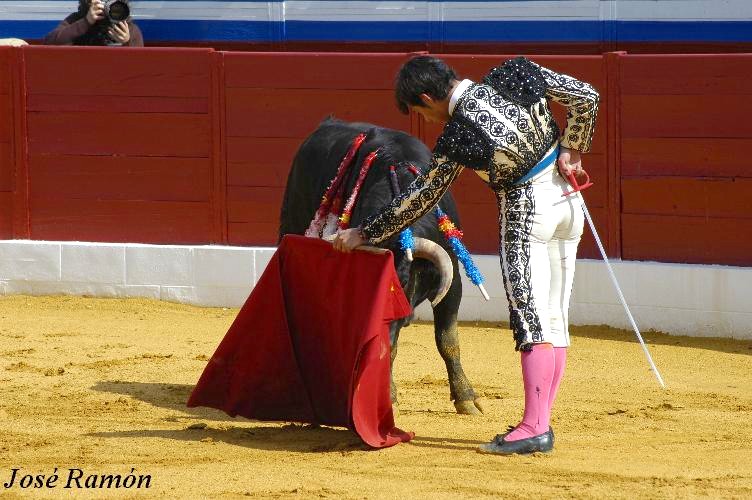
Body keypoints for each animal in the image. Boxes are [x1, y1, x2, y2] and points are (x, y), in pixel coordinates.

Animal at [280, 117, 482, 414]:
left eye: (402, 281)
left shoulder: (452, 282)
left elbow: (447, 340)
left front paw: (467, 399)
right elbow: (386, 346)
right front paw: (387, 394)